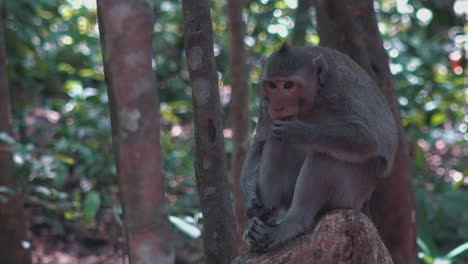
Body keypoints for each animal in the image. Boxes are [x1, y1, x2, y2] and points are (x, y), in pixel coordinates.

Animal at [241, 43, 398, 252]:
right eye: (272, 85)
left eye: (288, 85)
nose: (278, 107)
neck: (313, 100)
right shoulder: (264, 102)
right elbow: (261, 142)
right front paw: (251, 202)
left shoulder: (339, 90)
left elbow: (368, 139)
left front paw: (298, 131)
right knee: (276, 143)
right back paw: (262, 224)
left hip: (349, 197)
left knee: (323, 155)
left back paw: (295, 222)